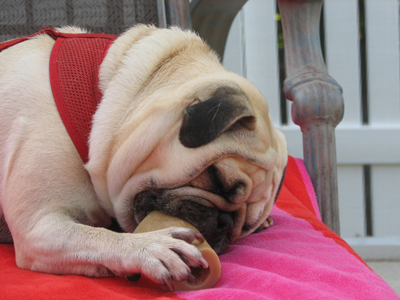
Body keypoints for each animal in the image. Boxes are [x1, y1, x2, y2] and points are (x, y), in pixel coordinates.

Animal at [0, 25, 288, 288]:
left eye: (245, 228)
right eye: (216, 178)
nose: (224, 222)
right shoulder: (37, 227)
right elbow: (95, 237)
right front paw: (151, 247)